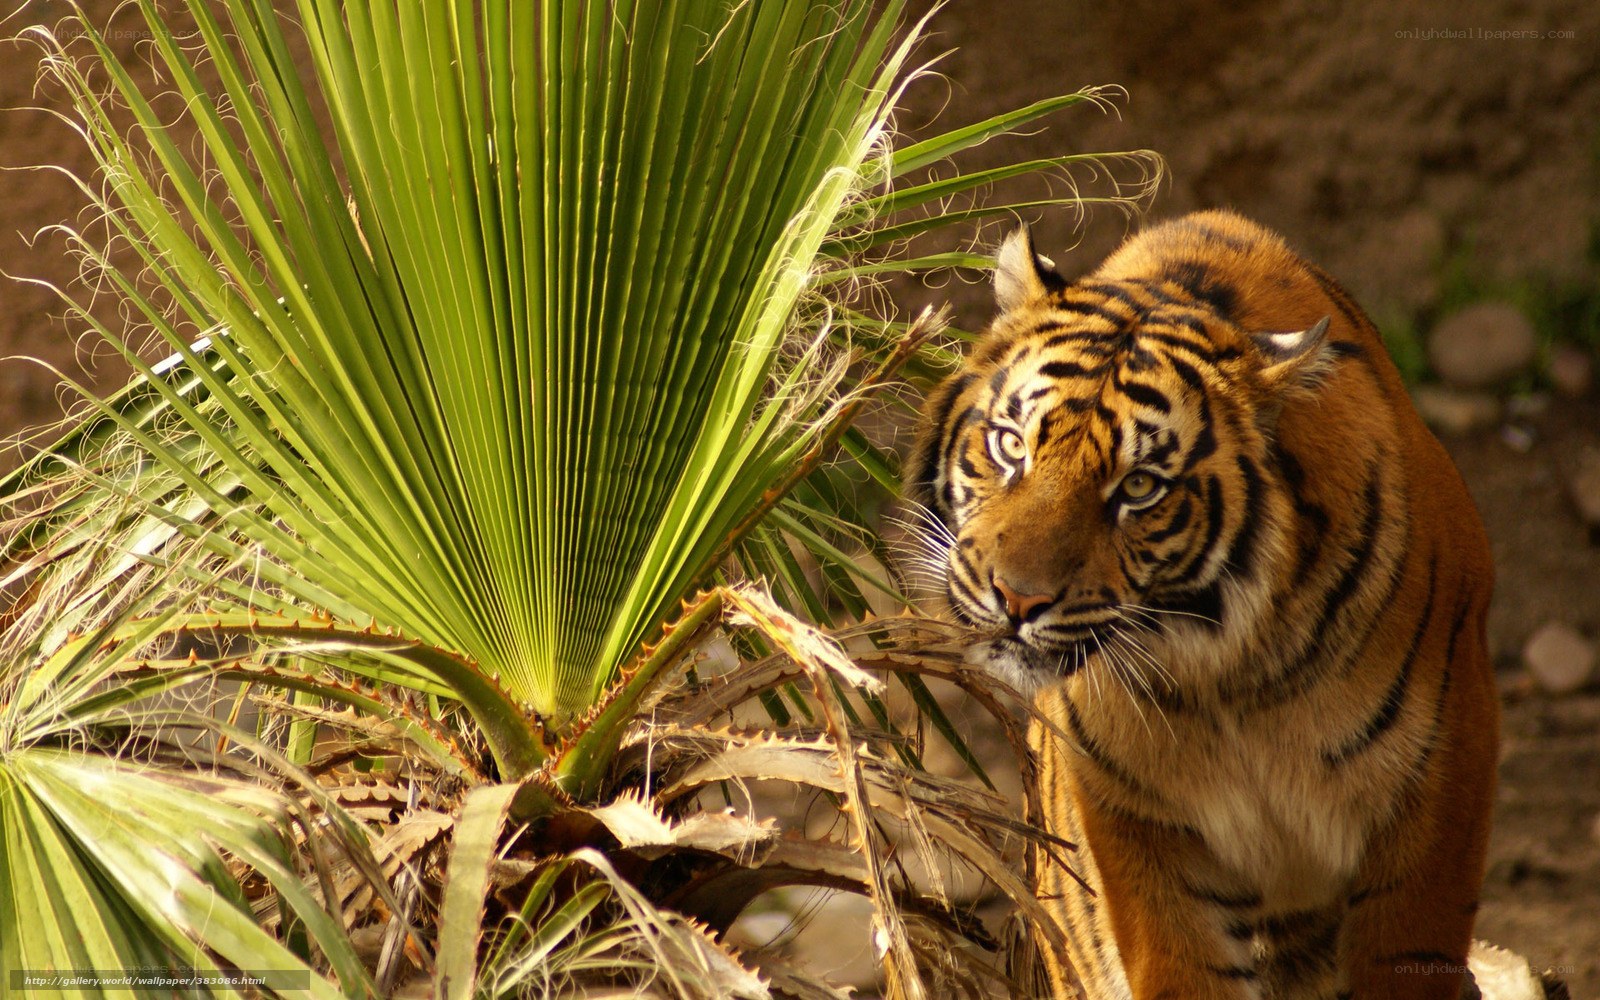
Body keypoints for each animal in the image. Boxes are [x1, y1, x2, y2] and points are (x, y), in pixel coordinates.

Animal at [904, 210, 1499, 999]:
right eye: (1009, 446)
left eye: (1139, 488)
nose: (1016, 598)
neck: (1226, 676)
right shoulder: (1137, 824)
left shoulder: (1438, 788)